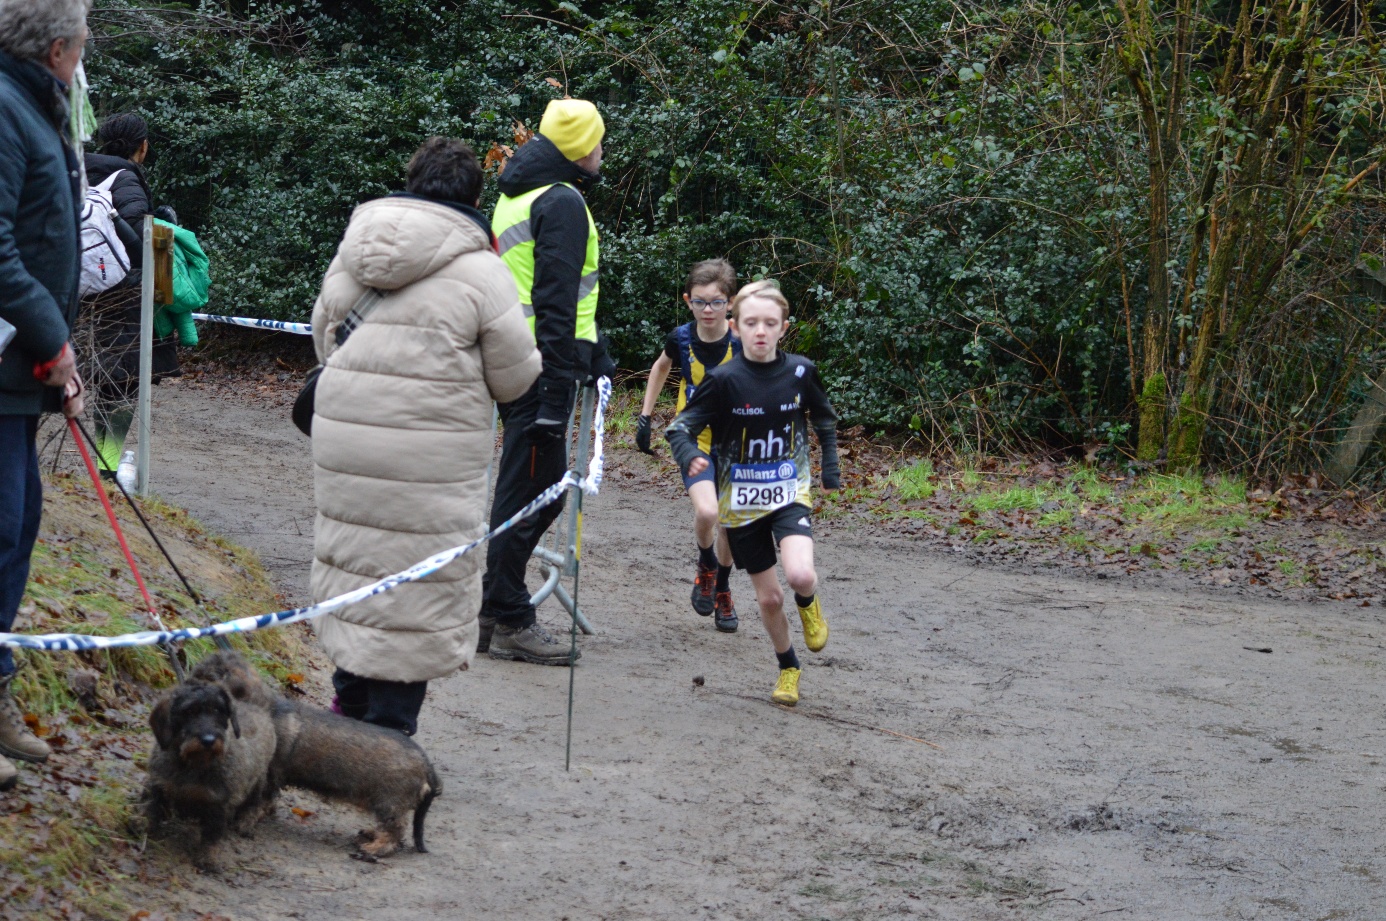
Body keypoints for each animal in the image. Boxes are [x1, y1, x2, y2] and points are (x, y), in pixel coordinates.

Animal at [143, 675, 278, 869]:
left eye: (217, 710)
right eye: (189, 711)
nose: (209, 740)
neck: (192, 764)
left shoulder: (218, 803)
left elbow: (212, 834)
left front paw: (208, 857)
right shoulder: (158, 783)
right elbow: (150, 805)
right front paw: (142, 825)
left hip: (258, 779)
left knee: (254, 802)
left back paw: (246, 821)